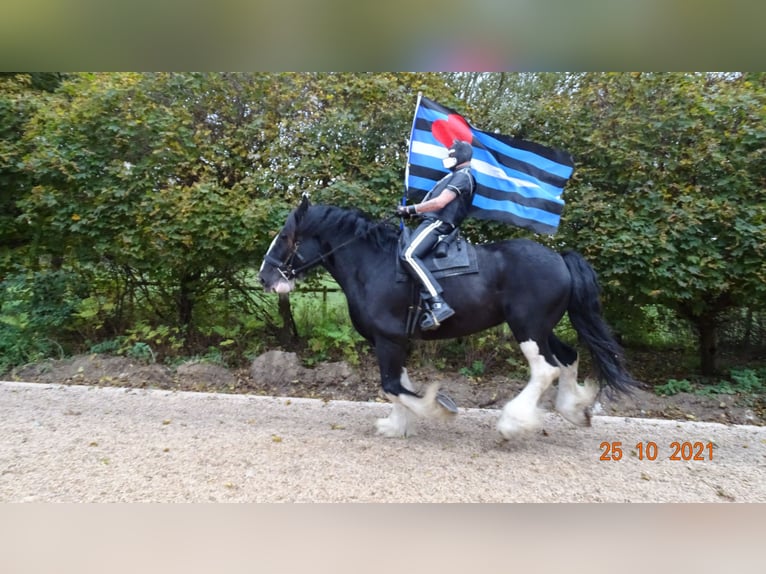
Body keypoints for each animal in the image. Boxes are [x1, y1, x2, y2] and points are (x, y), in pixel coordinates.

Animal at [260, 197, 640, 440]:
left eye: (285, 237)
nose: (264, 277)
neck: (373, 264)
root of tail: (559, 257)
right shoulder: (395, 340)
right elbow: (397, 384)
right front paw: (397, 427)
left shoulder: (387, 339)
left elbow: (393, 386)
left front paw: (438, 408)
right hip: (543, 328)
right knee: (567, 357)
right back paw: (574, 409)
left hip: (528, 327)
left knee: (545, 369)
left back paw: (512, 424)